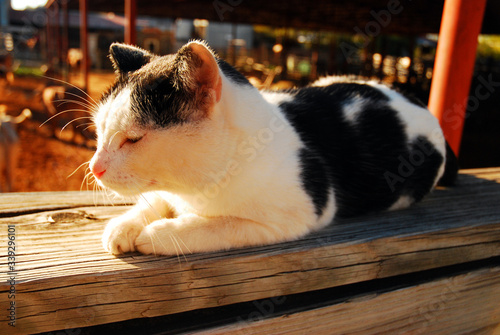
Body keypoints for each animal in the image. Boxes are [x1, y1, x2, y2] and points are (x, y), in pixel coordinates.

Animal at [90, 41, 458, 258]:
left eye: (133, 139)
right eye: (100, 132)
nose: (95, 167)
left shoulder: (298, 214)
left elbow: (217, 225)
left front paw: (159, 235)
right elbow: (155, 200)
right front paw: (124, 225)